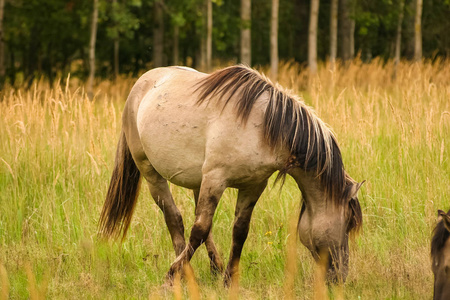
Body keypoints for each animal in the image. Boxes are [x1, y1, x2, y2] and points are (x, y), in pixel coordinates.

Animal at [96, 65, 364, 286]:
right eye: (349, 223)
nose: (340, 276)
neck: (263, 127)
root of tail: (140, 84)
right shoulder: (216, 179)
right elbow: (199, 229)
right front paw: (171, 274)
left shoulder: (253, 185)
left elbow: (239, 231)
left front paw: (229, 279)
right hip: (151, 173)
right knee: (175, 219)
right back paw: (185, 273)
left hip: (198, 182)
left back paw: (215, 268)